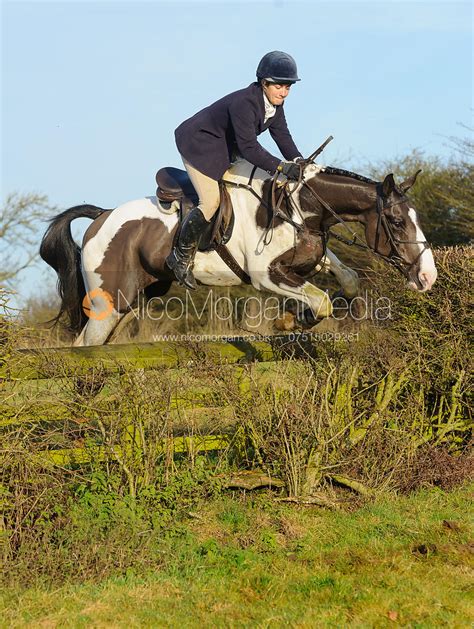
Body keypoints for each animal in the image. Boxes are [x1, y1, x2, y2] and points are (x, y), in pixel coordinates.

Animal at [39, 156, 436, 344]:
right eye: (396, 222)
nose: (427, 277)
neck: (298, 206)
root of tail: (102, 215)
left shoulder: (307, 261)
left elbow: (347, 279)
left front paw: (293, 318)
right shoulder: (266, 277)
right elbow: (321, 300)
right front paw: (291, 319)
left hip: (133, 300)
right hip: (107, 304)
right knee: (84, 346)